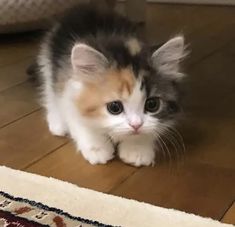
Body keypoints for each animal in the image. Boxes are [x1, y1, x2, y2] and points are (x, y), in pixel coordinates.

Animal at [36, 3, 187, 167]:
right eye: (114, 107)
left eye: (152, 105)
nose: (136, 125)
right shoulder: (70, 90)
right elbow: (81, 122)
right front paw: (97, 149)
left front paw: (137, 149)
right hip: (48, 62)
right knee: (50, 92)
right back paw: (57, 123)